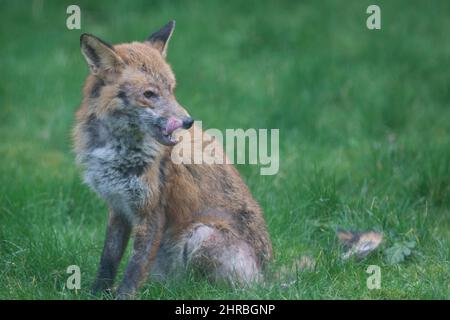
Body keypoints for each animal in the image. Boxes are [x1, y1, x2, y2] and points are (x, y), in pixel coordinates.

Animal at [72, 21, 272, 298]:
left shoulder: (152, 210)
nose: (188, 121)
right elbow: (108, 261)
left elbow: (134, 268)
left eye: (172, 89)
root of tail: (269, 280)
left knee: (207, 288)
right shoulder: (118, 207)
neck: (116, 149)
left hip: (201, 235)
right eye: (149, 94)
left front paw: (123, 295)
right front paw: (97, 293)